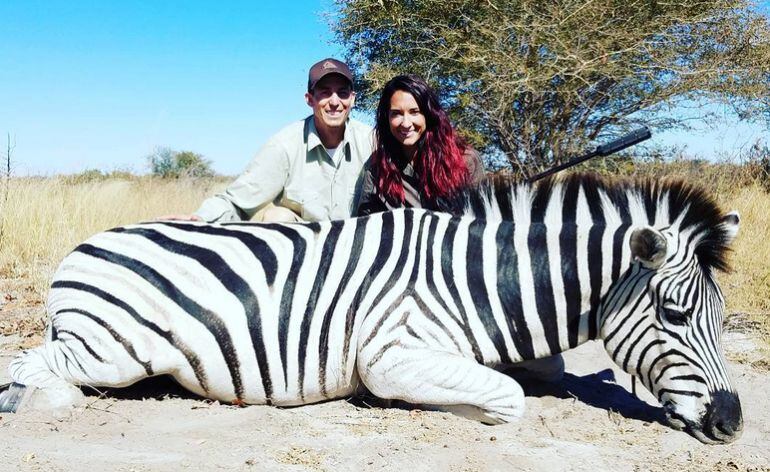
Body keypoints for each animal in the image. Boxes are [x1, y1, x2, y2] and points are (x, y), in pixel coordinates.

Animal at [1, 171, 744, 444]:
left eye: (719, 318)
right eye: (676, 315)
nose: (733, 422)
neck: (478, 280)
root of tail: (77, 250)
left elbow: (531, 379)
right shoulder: (392, 351)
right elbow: (506, 398)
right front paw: (434, 408)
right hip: (113, 349)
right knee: (32, 366)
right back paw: (48, 405)